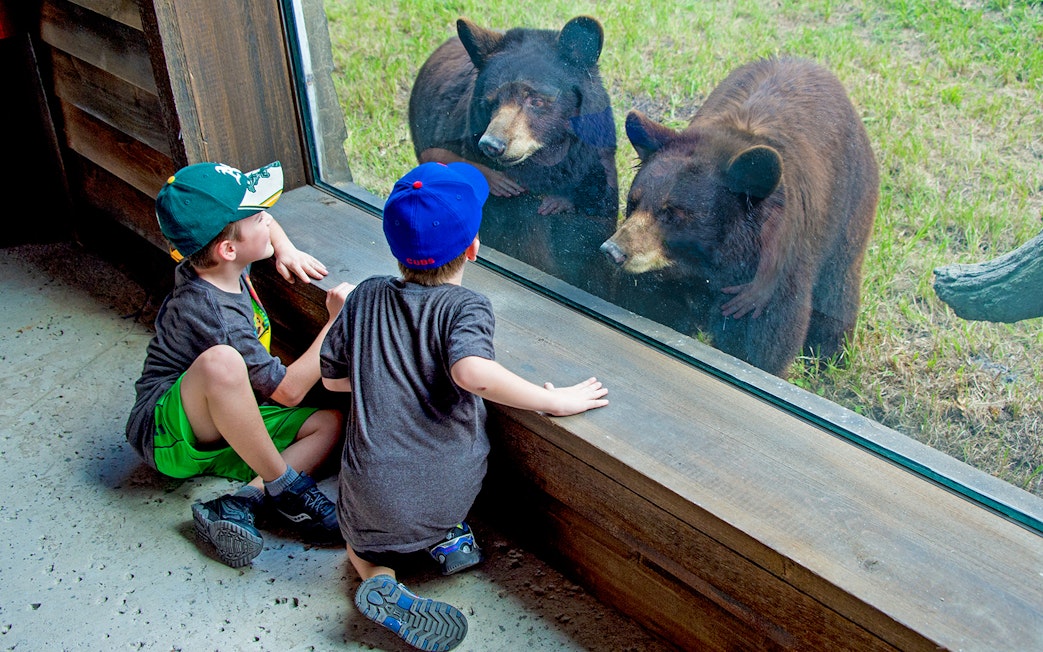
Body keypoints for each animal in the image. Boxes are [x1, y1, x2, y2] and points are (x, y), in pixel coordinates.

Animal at [600, 57, 879, 377]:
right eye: (633, 202)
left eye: (672, 214)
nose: (613, 250)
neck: (705, 269)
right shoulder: (666, 283)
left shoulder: (767, 276)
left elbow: (761, 342)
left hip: (850, 201)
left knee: (840, 281)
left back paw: (831, 355)